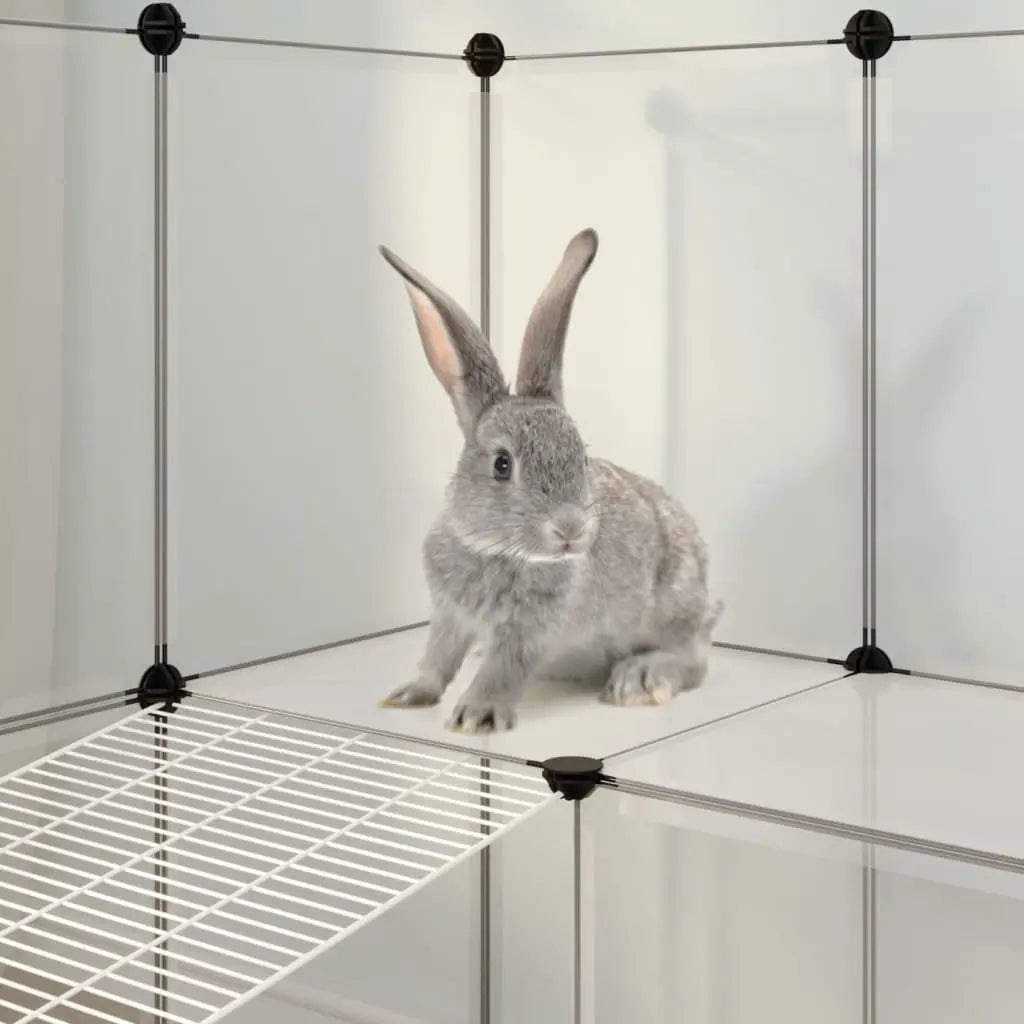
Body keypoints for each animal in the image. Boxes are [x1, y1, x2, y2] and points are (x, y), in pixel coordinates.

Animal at [377, 228, 722, 734]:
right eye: (502, 464)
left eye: (582, 456)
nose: (571, 528)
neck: (496, 550)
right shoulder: (448, 616)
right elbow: (438, 658)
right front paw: (407, 694)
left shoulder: (530, 630)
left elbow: (501, 670)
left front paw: (476, 715)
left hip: (672, 605)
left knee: (693, 660)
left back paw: (637, 680)